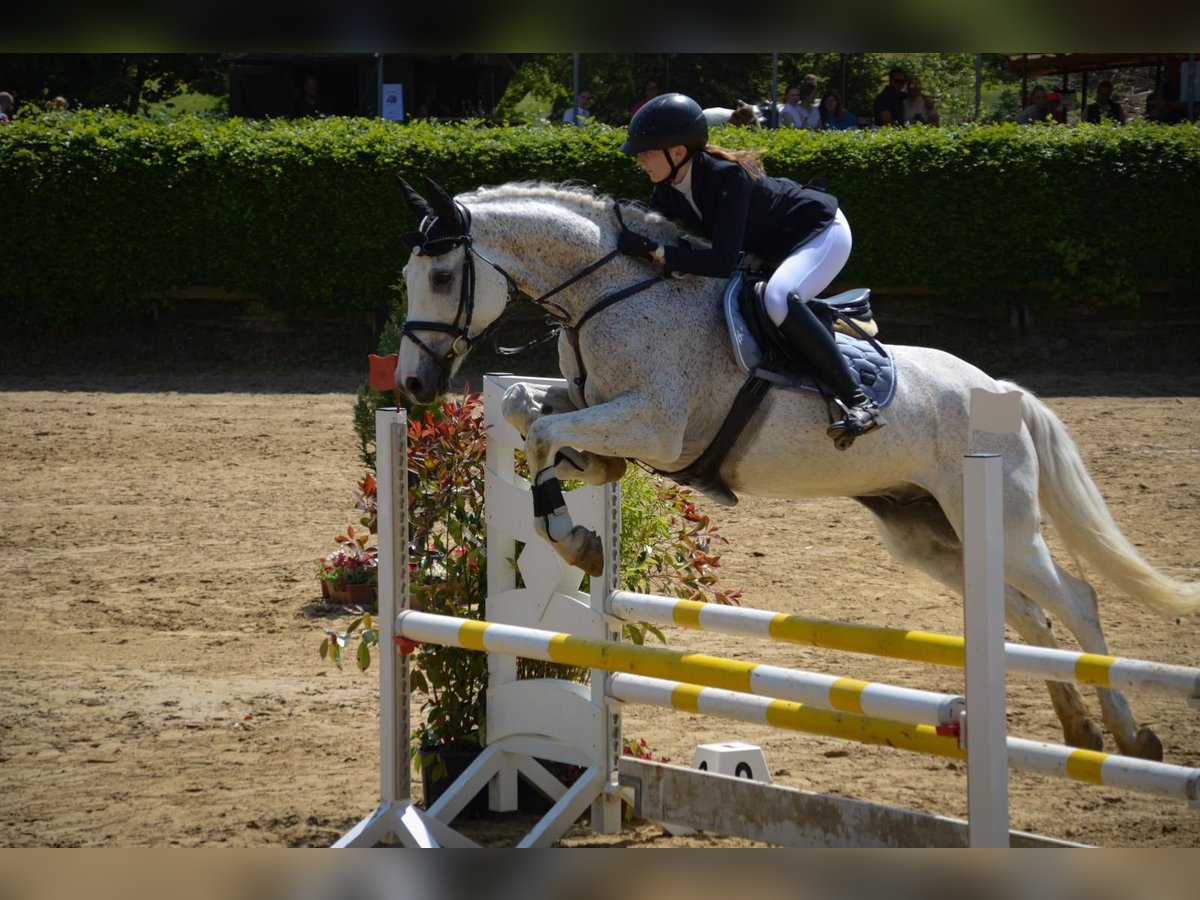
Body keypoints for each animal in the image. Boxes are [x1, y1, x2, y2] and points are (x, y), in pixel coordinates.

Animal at [394, 175, 1200, 761]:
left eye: (443, 273)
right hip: (930, 533)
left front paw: (577, 533)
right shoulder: (601, 406)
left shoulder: (657, 425)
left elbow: (542, 430)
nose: (411, 385)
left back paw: (1130, 736)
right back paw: (1076, 729)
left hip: (1001, 520)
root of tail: (1006, 392)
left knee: (1077, 600)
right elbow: (528, 410)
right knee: (1026, 612)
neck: (613, 295)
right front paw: (584, 498)